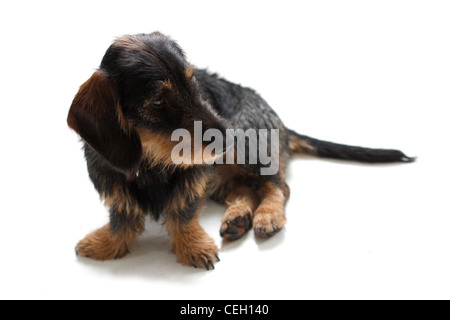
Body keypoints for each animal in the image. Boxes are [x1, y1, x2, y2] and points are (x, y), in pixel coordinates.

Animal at [67, 31, 414, 270]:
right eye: (158, 100)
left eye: (193, 83)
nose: (228, 138)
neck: (153, 158)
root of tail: (282, 124)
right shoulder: (113, 181)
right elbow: (123, 215)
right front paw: (107, 243)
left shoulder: (194, 176)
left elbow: (182, 211)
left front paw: (192, 247)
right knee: (243, 190)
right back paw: (237, 219)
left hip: (249, 153)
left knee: (277, 186)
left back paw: (267, 216)